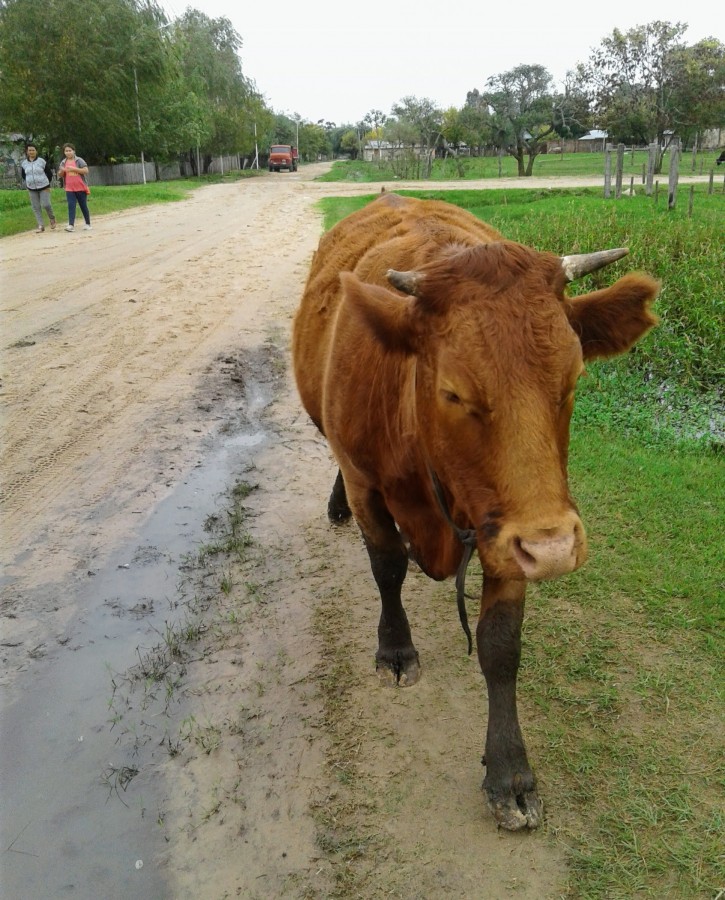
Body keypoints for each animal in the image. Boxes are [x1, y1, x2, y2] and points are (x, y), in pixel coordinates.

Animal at [290, 193, 656, 832]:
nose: (556, 551)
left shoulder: (510, 528)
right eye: (454, 392)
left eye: (573, 379)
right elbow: (387, 568)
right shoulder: (369, 488)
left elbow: (501, 644)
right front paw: (395, 649)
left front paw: (509, 770)